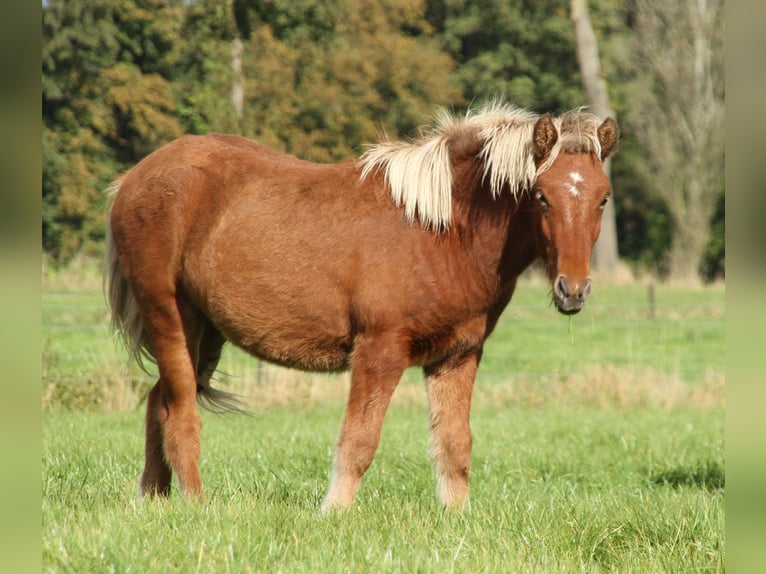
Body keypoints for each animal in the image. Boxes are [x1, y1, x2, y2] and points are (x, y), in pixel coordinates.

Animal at [105, 101, 616, 510]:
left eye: (603, 199)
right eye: (541, 196)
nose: (573, 290)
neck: (441, 231)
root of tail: (133, 179)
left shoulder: (458, 355)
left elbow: (455, 445)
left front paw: (457, 518)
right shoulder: (379, 352)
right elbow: (359, 441)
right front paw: (334, 513)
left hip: (205, 331)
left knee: (159, 402)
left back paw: (153, 502)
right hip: (168, 315)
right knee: (181, 413)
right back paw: (197, 506)